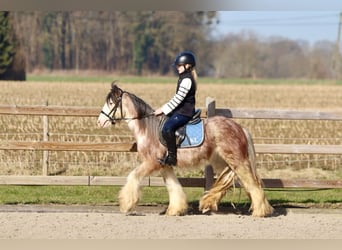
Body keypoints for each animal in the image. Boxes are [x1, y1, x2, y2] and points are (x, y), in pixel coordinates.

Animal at [97, 82, 274, 217]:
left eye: (111, 103)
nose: (99, 122)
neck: (147, 128)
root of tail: (240, 127)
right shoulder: (165, 165)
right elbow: (173, 187)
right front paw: (176, 209)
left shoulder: (151, 163)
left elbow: (133, 177)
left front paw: (126, 204)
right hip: (223, 162)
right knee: (232, 182)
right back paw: (210, 203)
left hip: (237, 161)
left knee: (252, 184)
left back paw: (260, 211)